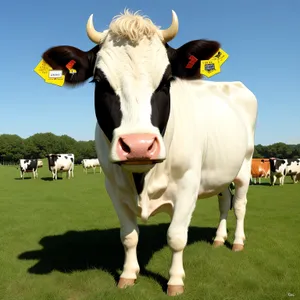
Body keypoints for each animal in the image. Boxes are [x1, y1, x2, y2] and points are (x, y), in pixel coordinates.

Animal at [40, 9, 258, 298]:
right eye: (99, 81)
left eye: (167, 81)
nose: (139, 145)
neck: (143, 179)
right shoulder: (113, 188)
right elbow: (128, 236)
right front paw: (128, 274)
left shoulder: (188, 184)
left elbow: (176, 237)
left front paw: (175, 281)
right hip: (221, 172)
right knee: (224, 202)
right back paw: (219, 238)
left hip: (244, 166)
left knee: (240, 205)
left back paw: (237, 242)